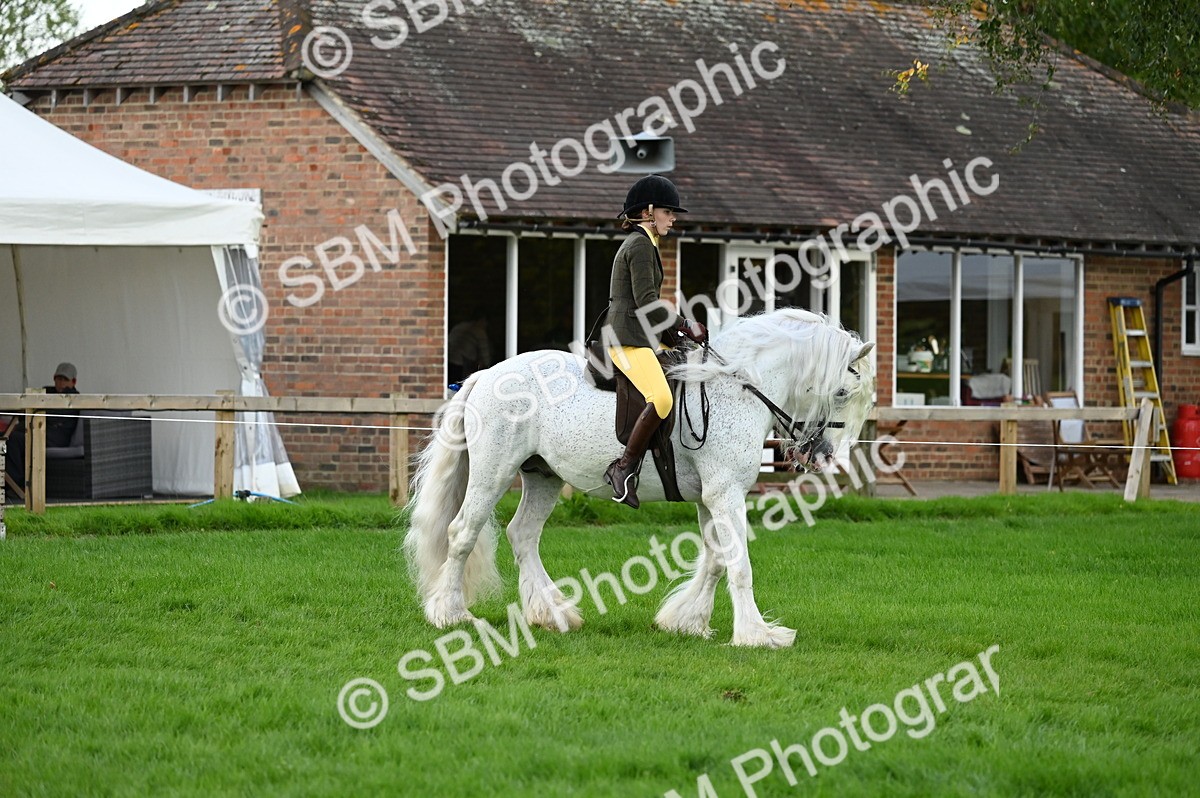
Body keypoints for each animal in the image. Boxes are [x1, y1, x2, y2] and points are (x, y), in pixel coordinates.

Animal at [404, 308, 875, 648]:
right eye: (841, 393)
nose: (823, 456)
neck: (737, 387)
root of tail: (486, 374)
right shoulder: (726, 494)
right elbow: (738, 563)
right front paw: (756, 635)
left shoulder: (711, 497)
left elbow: (716, 559)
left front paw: (687, 622)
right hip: (493, 471)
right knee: (462, 532)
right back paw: (450, 614)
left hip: (543, 476)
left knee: (522, 534)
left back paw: (552, 614)